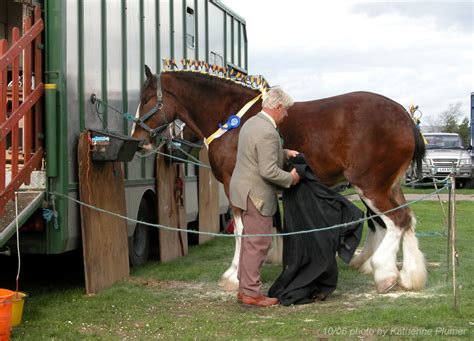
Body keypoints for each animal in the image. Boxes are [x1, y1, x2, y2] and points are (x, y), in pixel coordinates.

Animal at [131, 65, 428, 292]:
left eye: (146, 99)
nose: (138, 140)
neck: (231, 118)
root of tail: (405, 117)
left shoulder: (233, 184)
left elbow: (241, 230)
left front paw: (234, 275)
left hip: (371, 185)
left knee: (397, 221)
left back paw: (385, 273)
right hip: (390, 186)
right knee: (407, 220)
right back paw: (409, 276)